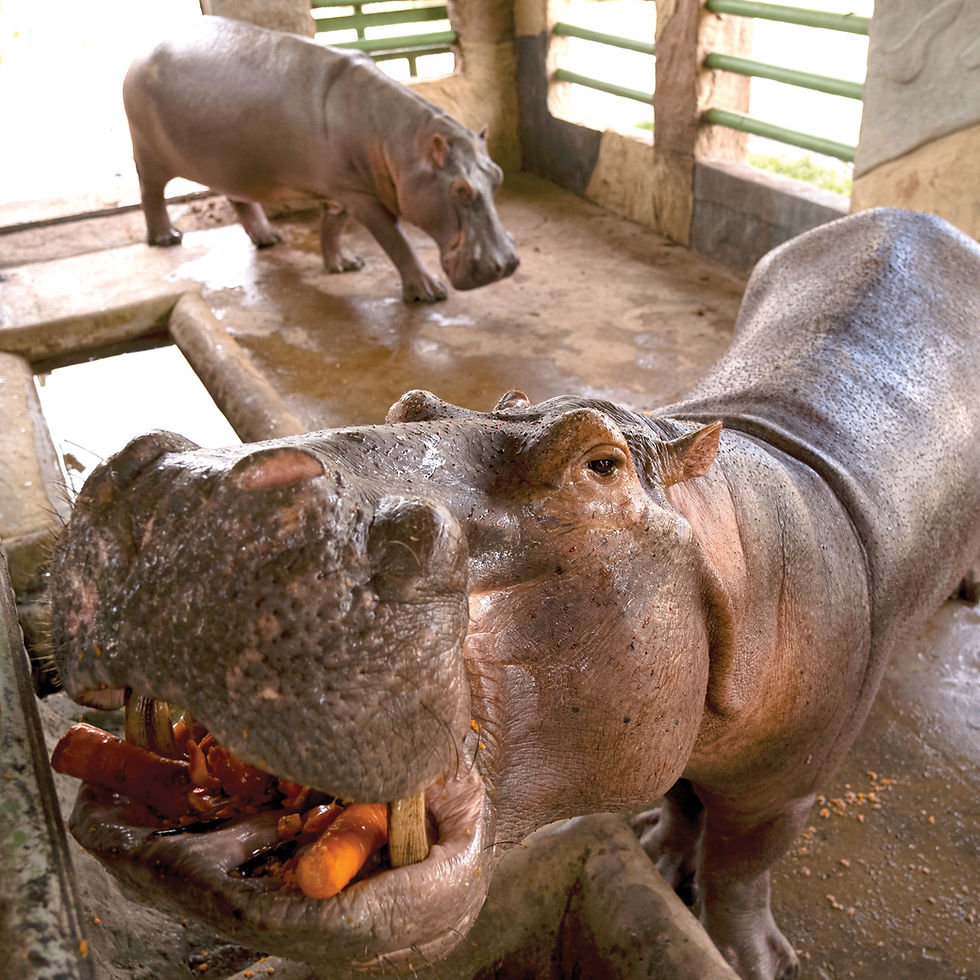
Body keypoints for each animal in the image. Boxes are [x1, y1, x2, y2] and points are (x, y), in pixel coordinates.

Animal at [48, 208, 980, 980]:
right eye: (411, 402)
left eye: (599, 464)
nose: (189, 487)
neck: (723, 534)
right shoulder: (683, 717)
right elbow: (682, 794)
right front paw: (658, 851)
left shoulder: (784, 788)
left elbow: (741, 869)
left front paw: (749, 960)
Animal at [122, 16, 519, 302]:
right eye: (461, 190)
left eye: (498, 175)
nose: (507, 264)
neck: (398, 141)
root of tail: (141, 51)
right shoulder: (362, 197)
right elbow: (396, 241)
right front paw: (428, 293)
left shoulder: (344, 190)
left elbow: (333, 228)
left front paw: (344, 265)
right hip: (149, 155)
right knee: (151, 193)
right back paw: (167, 238)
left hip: (229, 163)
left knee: (240, 198)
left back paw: (270, 239)